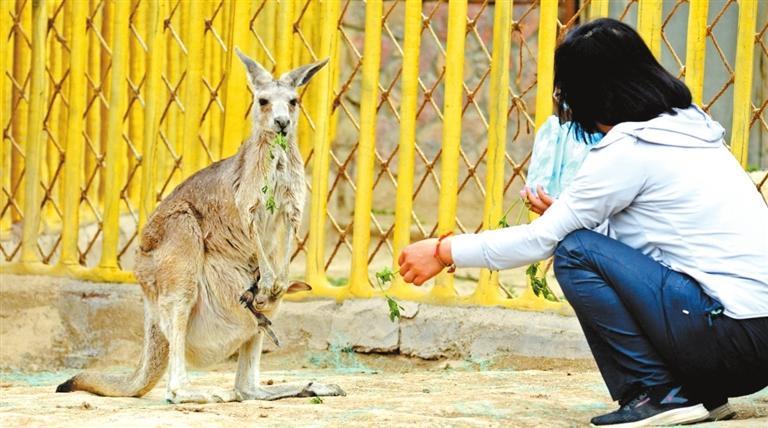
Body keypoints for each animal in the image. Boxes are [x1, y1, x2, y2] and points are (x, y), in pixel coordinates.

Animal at [55, 50, 345, 404]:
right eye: (262, 101)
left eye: (293, 101)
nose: (282, 123)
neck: (275, 154)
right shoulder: (248, 202)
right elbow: (253, 229)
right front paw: (269, 279)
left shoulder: (291, 206)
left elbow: (287, 240)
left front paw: (277, 279)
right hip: (180, 244)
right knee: (181, 381)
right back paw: (208, 393)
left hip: (251, 310)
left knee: (248, 384)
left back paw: (315, 385)